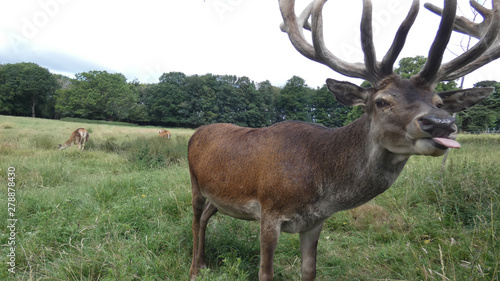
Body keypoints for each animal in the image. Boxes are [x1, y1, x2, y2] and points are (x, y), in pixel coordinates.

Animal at [188, 1, 500, 278]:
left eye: (439, 102)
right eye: (382, 101)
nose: (441, 123)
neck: (319, 184)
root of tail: (197, 131)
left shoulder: (314, 222)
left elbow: (310, 271)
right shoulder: (269, 211)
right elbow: (266, 273)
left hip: (219, 193)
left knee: (208, 215)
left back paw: (203, 262)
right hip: (194, 182)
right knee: (196, 218)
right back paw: (194, 268)